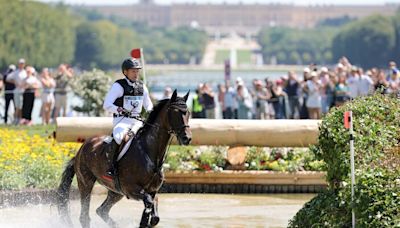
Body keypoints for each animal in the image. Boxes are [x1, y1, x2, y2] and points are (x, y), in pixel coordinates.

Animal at [56, 90, 192, 227]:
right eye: (175, 112)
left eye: (188, 112)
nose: (187, 138)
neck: (150, 154)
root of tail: (80, 150)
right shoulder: (131, 189)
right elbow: (149, 203)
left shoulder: (152, 191)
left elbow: (153, 214)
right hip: (86, 183)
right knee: (85, 216)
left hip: (115, 192)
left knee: (102, 210)